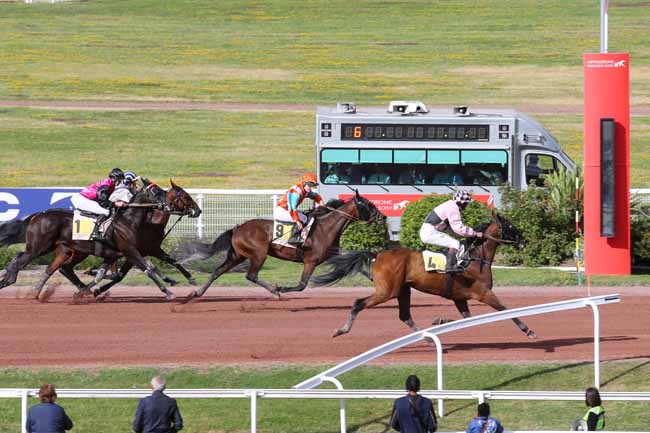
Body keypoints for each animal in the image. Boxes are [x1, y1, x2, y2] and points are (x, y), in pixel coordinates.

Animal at [0, 178, 200, 296]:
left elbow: (170, 260)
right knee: (21, 258)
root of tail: (37, 215)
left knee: (58, 268)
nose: (198, 211)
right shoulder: (130, 250)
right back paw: (8, 280)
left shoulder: (145, 249)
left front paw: (189, 280)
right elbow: (147, 269)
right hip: (40, 246)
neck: (133, 220)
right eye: (156, 191)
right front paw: (167, 291)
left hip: (66, 250)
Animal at [172, 191, 384, 298]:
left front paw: (374, 278)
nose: (382, 217)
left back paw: (197, 292)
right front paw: (281, 288)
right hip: (258, 254)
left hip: (237, 255)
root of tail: (237, 228)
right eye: (369, 205)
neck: (326, 227)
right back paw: (274, 291)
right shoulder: (311, 261)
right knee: (251, 275)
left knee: (217, 271)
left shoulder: (332, 254)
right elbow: (302, 285)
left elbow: (357, 266)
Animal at [310, 212, 536, 338]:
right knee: (358, 303)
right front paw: (528, 330)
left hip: (403, 290)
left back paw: (424, 335)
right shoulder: (483, 293)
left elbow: (467, 318)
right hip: (387, 291)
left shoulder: (460, 298)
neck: (475, 258)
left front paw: (440, 321)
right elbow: (505, 310)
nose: (525, 241)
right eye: (510, 226)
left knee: (404, 315)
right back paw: (342, 330)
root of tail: (377, 254)